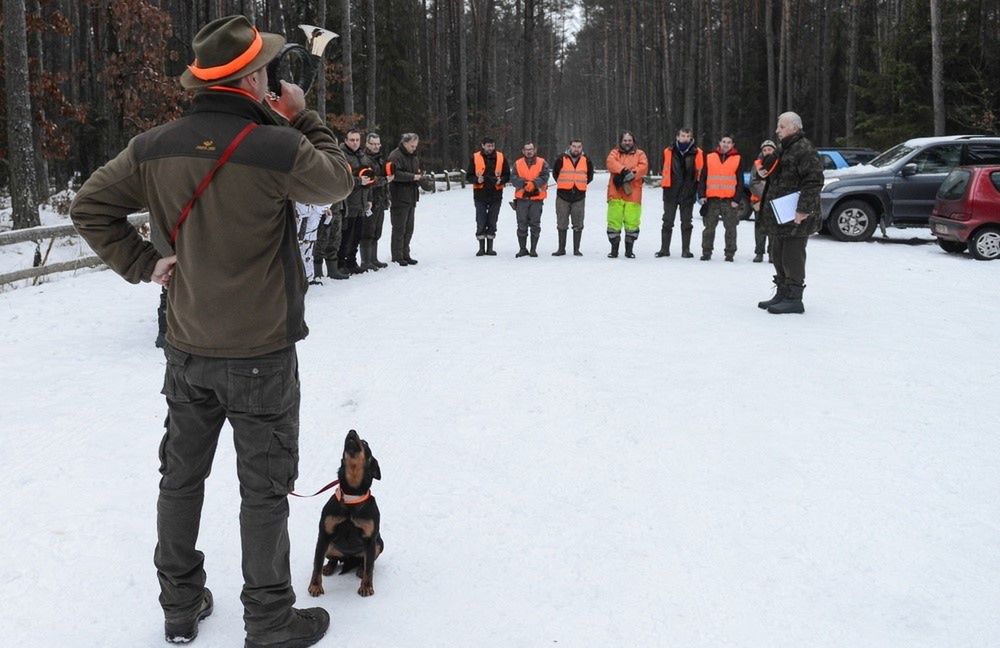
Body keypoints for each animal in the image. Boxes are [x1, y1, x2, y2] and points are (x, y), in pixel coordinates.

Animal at [308, 430, 382, 596]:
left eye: (365, 442)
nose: (352, 431)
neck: (351, 495)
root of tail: (349, 559)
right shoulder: (323, 535)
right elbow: (316, 564)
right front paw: (315, 586)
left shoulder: (370, 539)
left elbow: (370, 568)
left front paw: (366, 587)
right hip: (329, 546)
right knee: (332, 559)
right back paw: (329, 567)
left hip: (379, 544)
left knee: (366, 561)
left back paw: (360, 569)